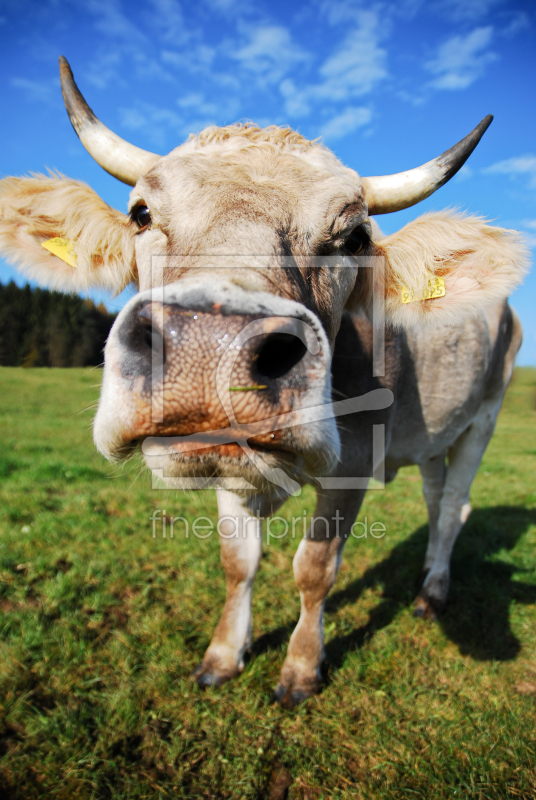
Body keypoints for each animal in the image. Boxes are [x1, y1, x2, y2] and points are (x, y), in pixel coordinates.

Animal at [0, 57, 528, 708]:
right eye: (140, 213)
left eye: (354, 238)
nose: (209, 347)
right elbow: (238, 562)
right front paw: (224, 655)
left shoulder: (355, 464)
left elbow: (314, 569)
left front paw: (300, 669)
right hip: (434, 434)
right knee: (437, 499)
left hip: (485, 417)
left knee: (456, 502)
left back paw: (432, 593)